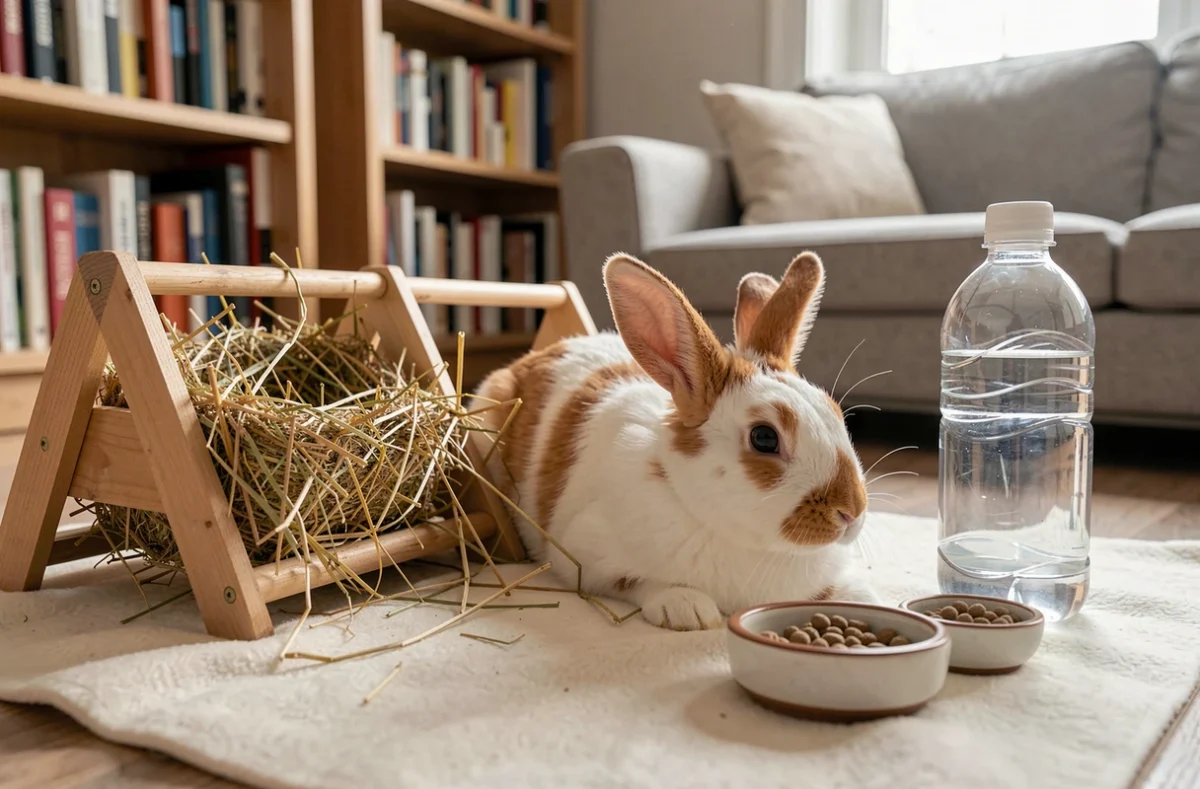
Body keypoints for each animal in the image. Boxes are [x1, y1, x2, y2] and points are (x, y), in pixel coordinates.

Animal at [473, 251, 877, 631]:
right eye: (764, 438)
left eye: (836, 414)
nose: (852, 511)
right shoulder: (581, 556)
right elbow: (638, 581)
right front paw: (687, 610)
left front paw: (861, 598)